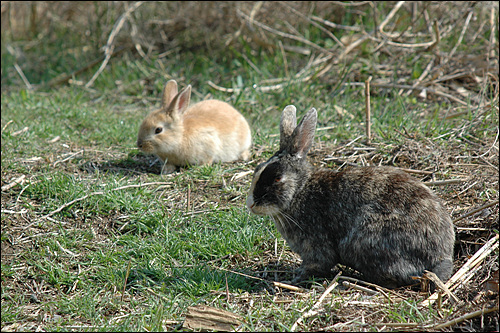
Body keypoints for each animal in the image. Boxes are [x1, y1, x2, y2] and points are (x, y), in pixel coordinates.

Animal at [244, 105, 456, 286]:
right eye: (257, 169)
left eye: (277, 178)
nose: (251, 204)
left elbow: (317, 264)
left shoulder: (315, 245)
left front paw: (295, 279)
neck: (300, 190)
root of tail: (441, 256)